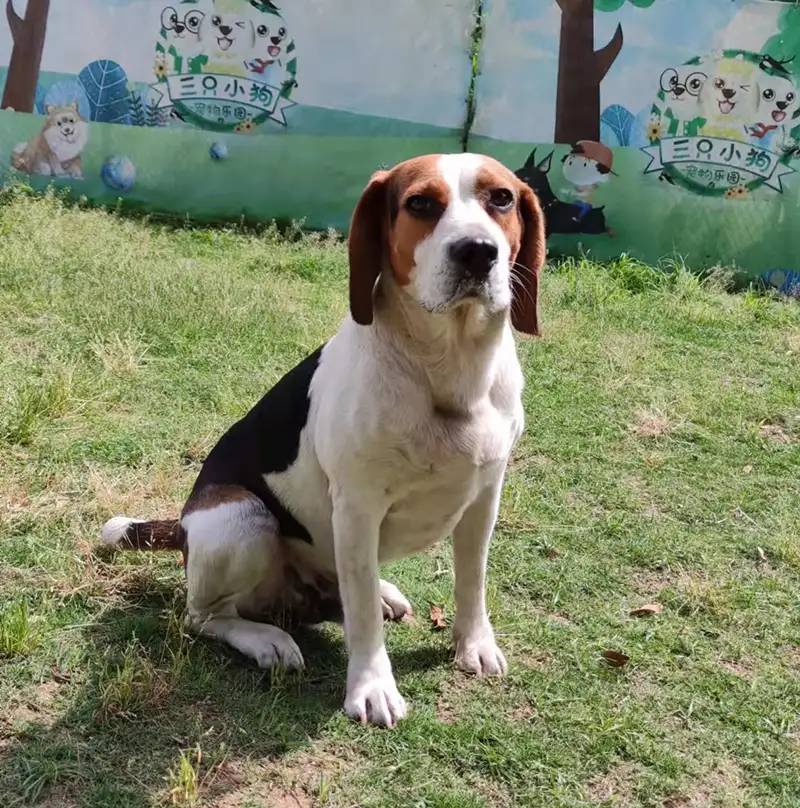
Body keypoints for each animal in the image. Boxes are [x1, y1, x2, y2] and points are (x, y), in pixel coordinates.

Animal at [101, 152, 544, 724]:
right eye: (420, 203)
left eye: (502, 199)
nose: (478, 252)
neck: (448, 369)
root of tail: (180, 527)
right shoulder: (356, 508)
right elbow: (363, 616)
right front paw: (372, 686)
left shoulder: (484, 497)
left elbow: (472, 581)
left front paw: (474, 645)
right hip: (240, 518)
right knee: (205, 616)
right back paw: (266, 639)